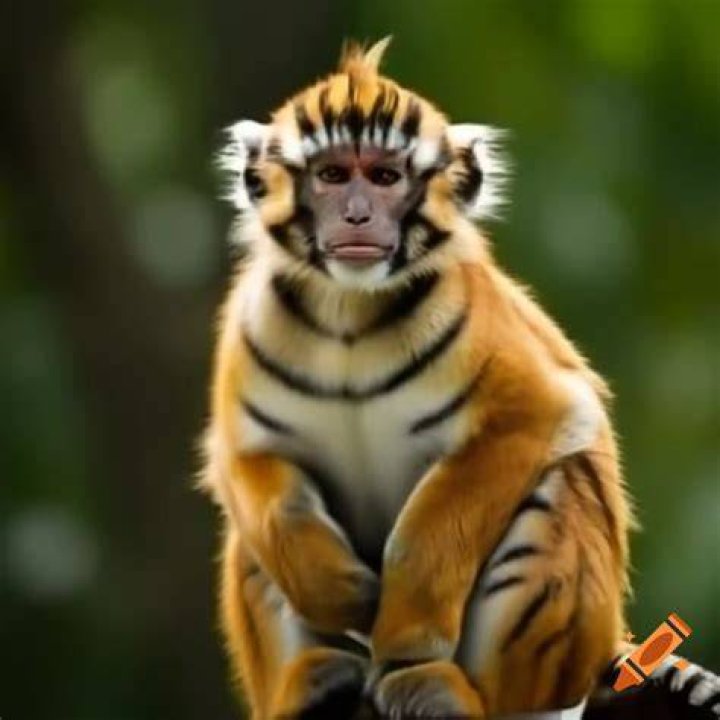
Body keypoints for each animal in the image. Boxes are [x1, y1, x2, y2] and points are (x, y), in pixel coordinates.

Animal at [199, 39, 720, 719]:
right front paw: (348, 595)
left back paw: (439, 689)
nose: (358, 216)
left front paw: (403, 640)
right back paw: (311, 682)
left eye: (386, 177)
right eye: (332, 175)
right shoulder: (243, 440)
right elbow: (281, 513)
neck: (348, 311)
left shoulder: (527, 414)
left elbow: (425, 533)